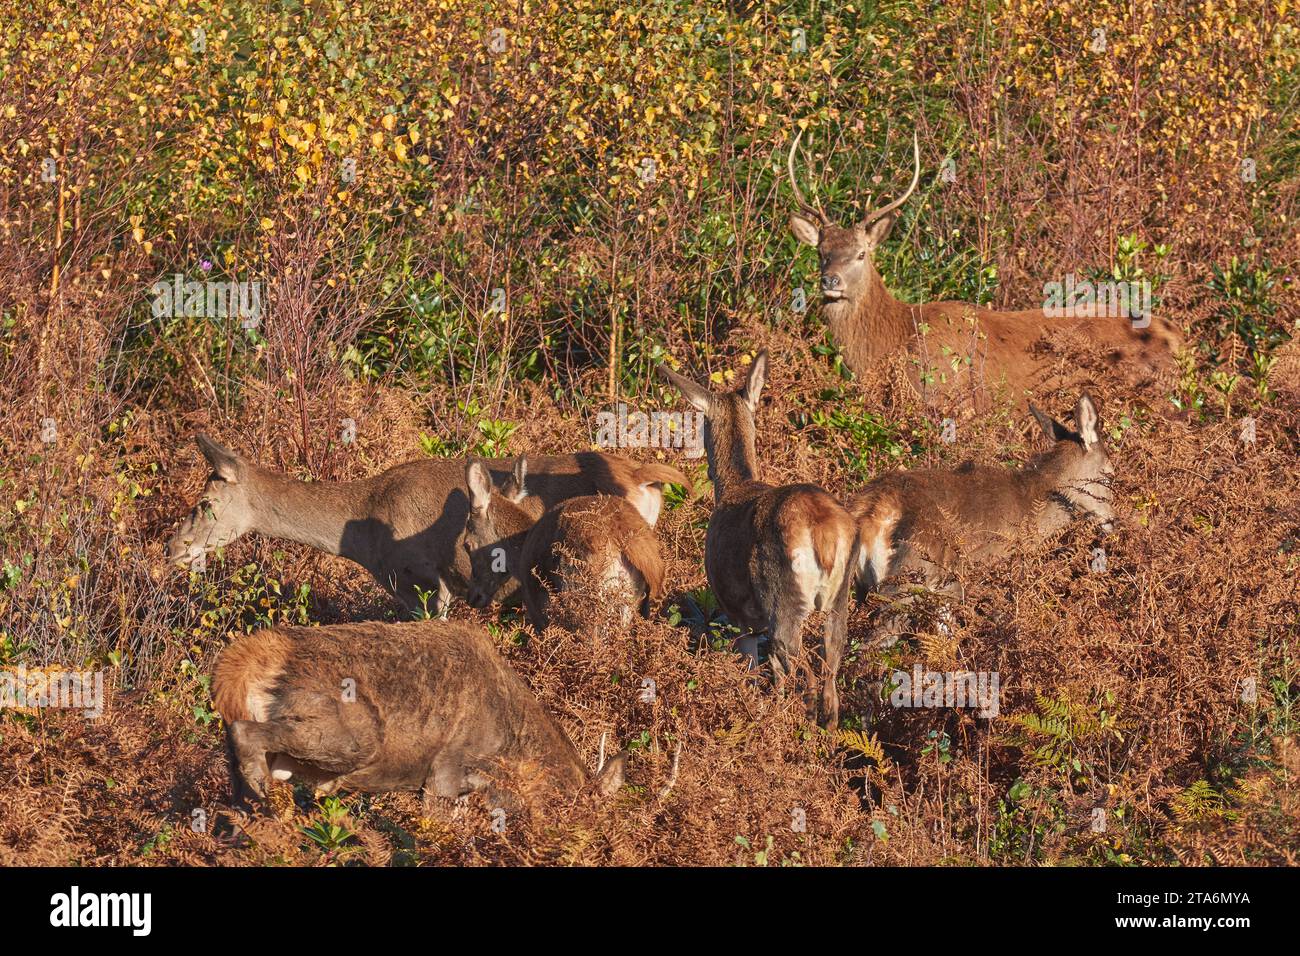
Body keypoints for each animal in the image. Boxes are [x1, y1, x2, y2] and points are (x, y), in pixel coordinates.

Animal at [658, 351, 859, 728]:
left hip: (782, 597)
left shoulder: (738, 612)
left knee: (802, 673)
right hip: (841, 598)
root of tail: (824, 532)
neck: (734, 487)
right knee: (829, 678)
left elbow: (753, 670)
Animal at [849, 392, 1115, 647]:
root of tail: (869, 513)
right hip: (907, 579)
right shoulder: (1000, 577)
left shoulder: (947, 592)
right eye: (1110, 475)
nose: (1113, 521)